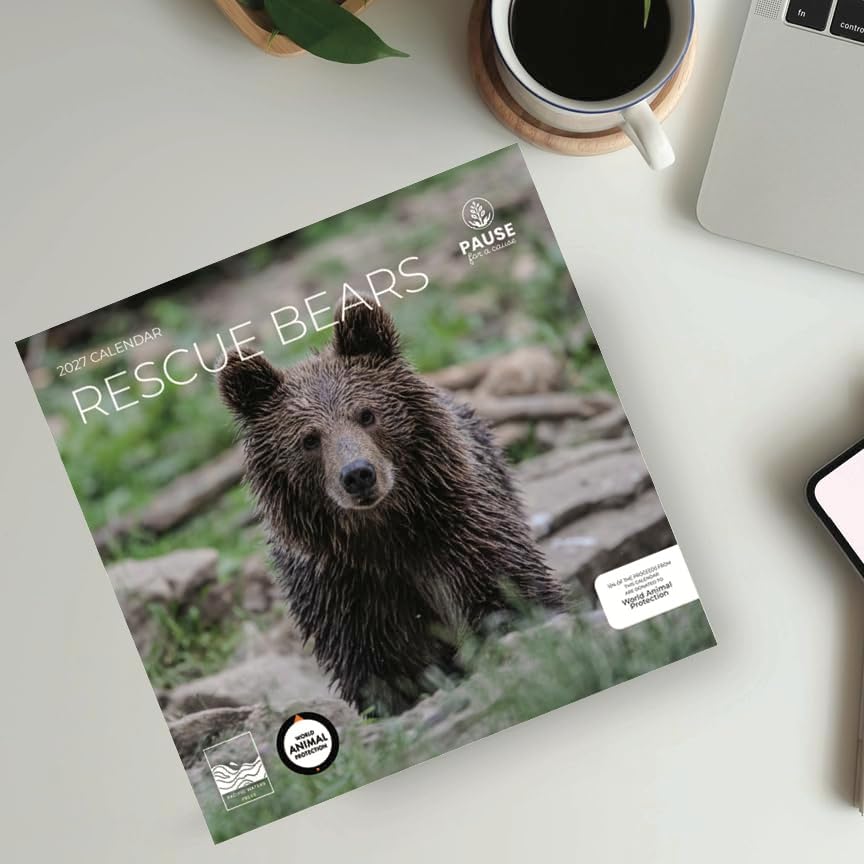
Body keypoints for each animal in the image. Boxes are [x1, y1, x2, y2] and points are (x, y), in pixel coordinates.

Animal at [218, 300, 564, 716]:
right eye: (309, 439)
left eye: (367, 414)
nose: (358, 475)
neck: (385, 534)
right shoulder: (344, 590)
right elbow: (382, 666)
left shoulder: (462, 529)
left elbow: (507, 590)